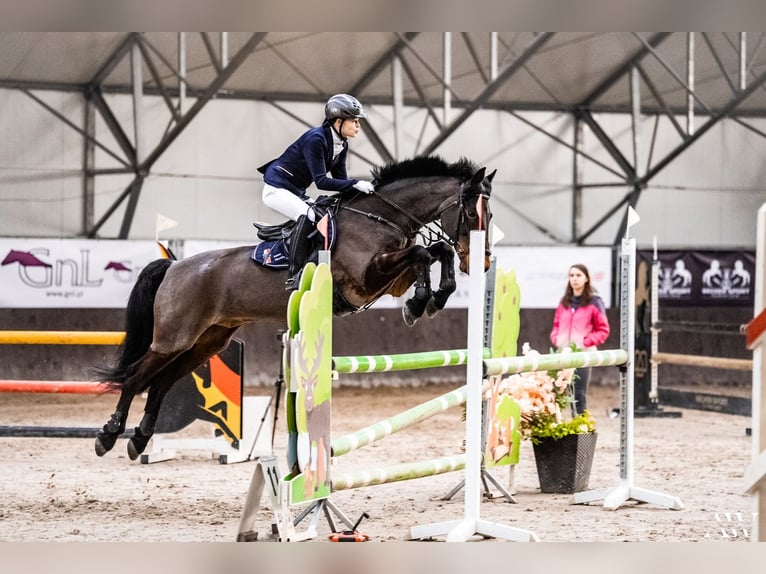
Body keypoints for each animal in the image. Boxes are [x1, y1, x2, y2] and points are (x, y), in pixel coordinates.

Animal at [94, 155, 498, 462]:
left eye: (489, 216)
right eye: (473, 215)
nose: (481, 264)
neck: (380, 217)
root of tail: (175, 266)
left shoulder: (387, 279)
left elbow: (434, 252)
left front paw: (429, 300)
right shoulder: (368, 277)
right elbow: (421, 254)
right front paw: (418, 304)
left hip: (206, 342)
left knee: (160, 383)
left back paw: (139, 440)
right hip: (173, 338)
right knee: (136, 378)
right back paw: (108, 436)